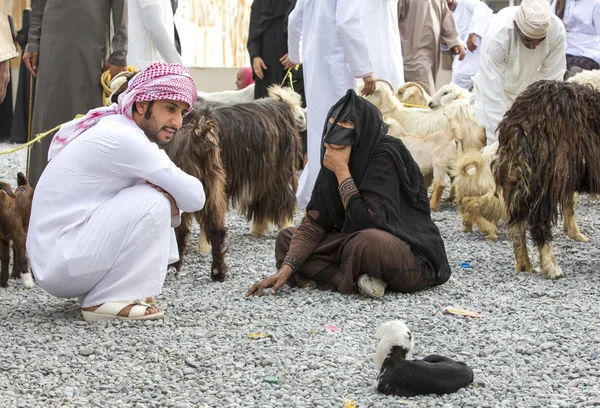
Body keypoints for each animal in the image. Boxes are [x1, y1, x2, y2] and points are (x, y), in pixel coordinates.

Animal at [492, 79, 600, 278]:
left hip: (519, 176)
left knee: (517, 222)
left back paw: (525, 265)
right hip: (547, 178)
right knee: (539, 222)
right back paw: (552, 268)